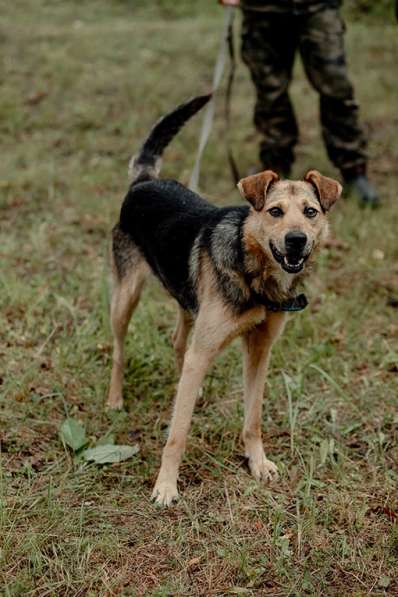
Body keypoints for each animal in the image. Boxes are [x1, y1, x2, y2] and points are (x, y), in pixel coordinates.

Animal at [106, 95, 342, 506]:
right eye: (275, 212)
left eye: (310, 212)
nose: (296, 240)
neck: (253, 269)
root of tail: (145, 180)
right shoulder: (207, 346)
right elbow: (177, 434)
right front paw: (165, 486)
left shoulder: (260, 348)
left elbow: (253, 418)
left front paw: (257, 463)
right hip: (127, 295)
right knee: (120, 347)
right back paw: (116, 399)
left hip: (188, 302)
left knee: (179, 343)